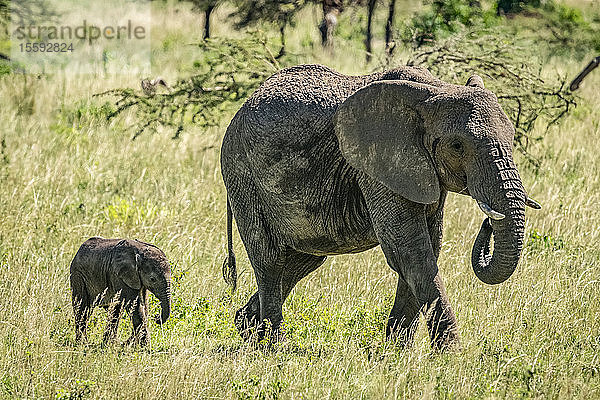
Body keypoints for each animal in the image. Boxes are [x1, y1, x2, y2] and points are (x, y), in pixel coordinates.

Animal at [219, 64, 540, 348]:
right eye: (457, 145)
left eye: (513, 137)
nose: (488, 222)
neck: (434, 90)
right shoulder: (376, 164)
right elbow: (410, 252)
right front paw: (450, 356)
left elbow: (428, 248)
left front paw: (396, 353)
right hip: (242, 176)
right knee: (270, 261)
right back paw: (275, 347)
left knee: (302, 261)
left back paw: (247, 329)